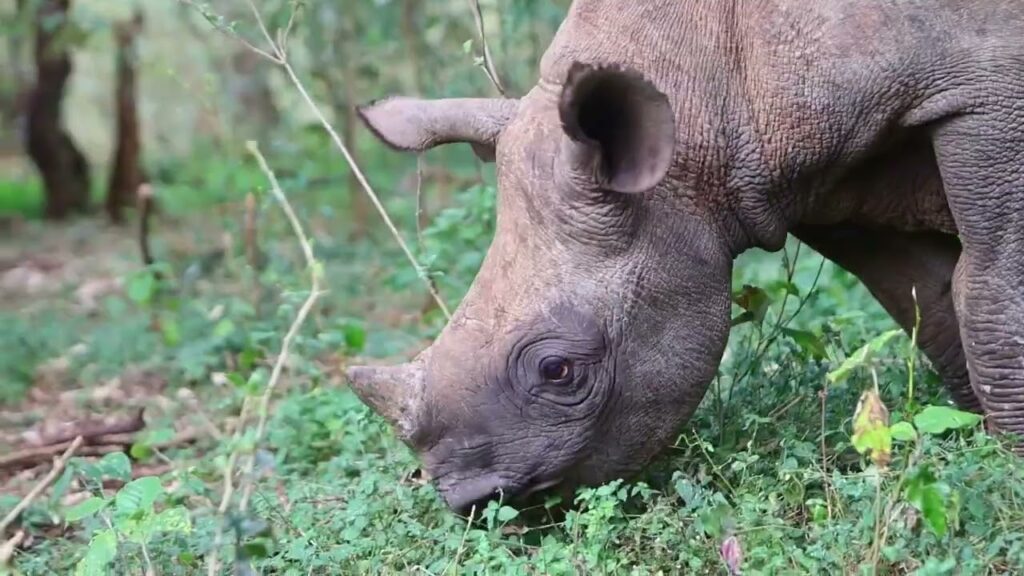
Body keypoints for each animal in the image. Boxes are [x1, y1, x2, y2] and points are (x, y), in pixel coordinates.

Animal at [347, 0, 1024, 514]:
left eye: (558, 371)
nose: (470, 501)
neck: (704, 91)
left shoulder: (986, 89)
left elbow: (989, 293)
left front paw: (1007, 464)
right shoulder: (813, 178)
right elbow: (926, 300)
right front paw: (971, 435)